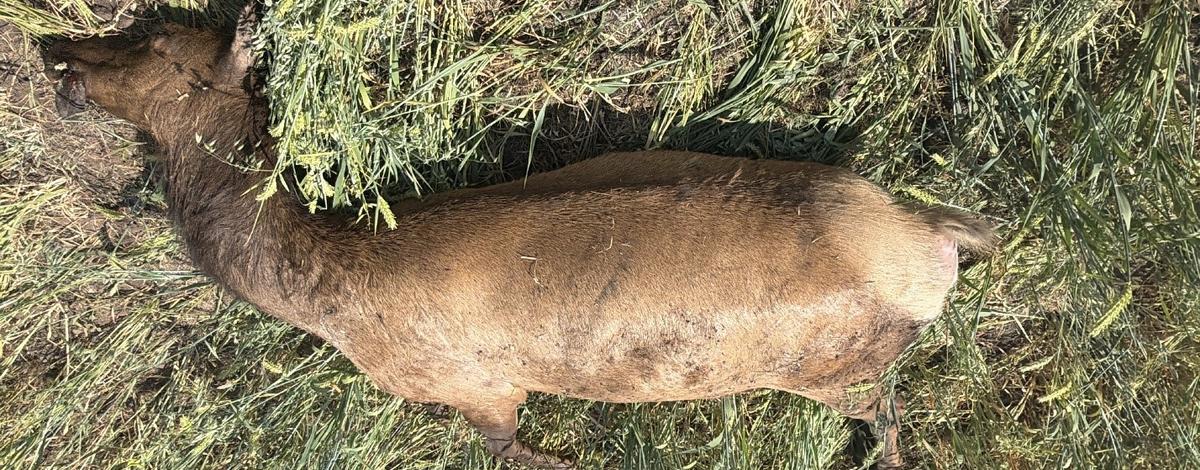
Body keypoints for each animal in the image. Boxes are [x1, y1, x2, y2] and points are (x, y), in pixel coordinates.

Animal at [46, 7, 995, 469]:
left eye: (154, 37)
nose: (58, 54)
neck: (321, 285)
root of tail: (933, 237)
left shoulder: (472, 385)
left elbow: (511, 449)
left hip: (832, 367)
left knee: (887, 407)